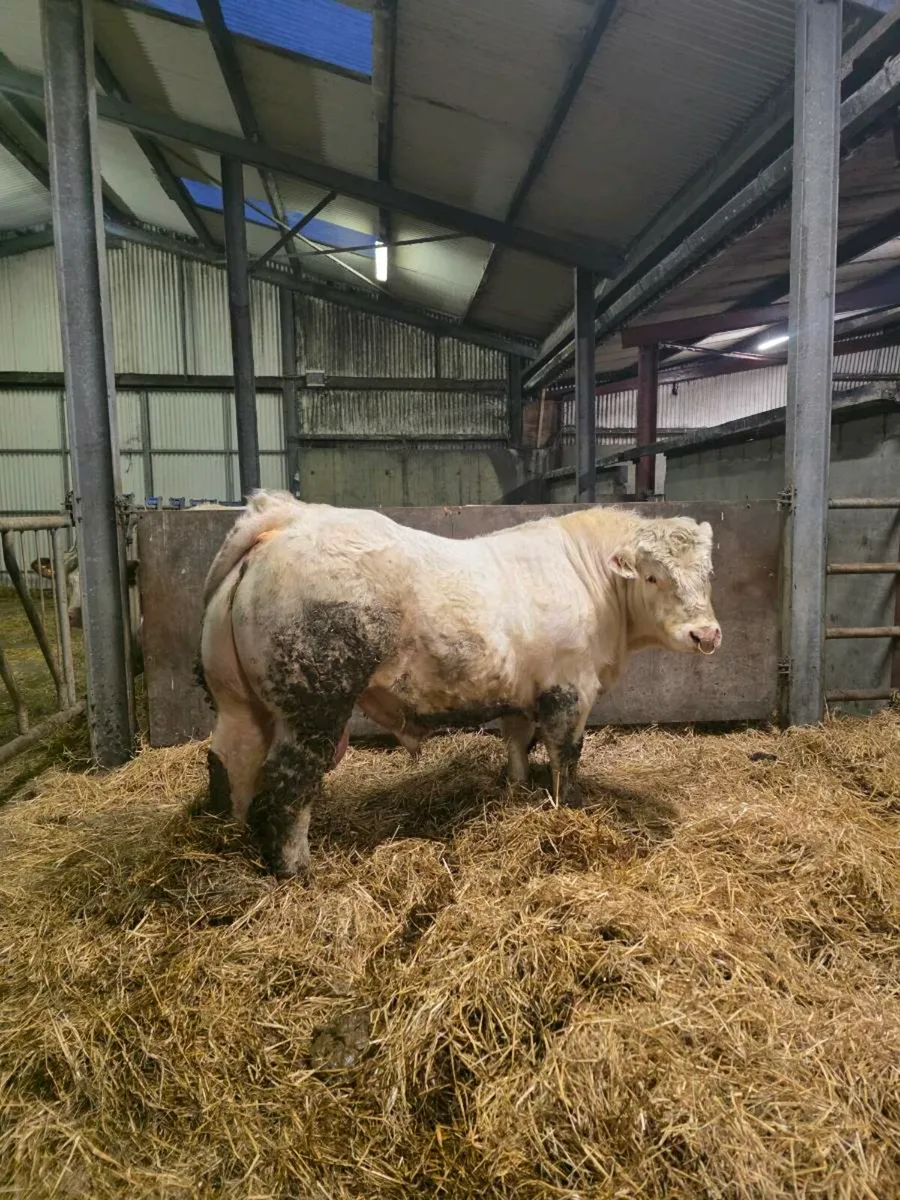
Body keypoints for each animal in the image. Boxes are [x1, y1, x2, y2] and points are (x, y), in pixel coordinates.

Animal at [198, 491, 722, 879]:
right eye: (652, 577)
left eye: (708, 573)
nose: (706, 634)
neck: (589, 581)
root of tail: (291, 518)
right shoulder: (570, 689)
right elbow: (565, 755)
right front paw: (569, 808)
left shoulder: (521, 693)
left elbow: (517, 743)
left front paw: (516, 790)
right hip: (313, 706)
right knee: (289, 785)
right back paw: (296, 870)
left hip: (239, 702)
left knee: (230, 763)